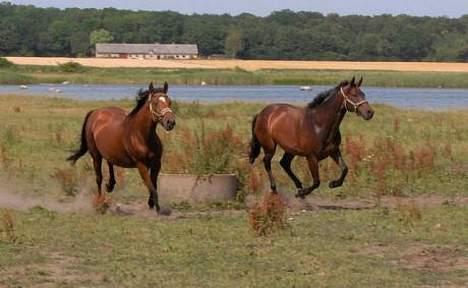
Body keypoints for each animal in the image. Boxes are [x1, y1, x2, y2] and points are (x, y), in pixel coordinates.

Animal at [66, 81, 176, 214]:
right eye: (155, 103)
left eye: (169, 102)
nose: (170, 122)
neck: (141, 135)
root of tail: (95, 112)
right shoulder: (141, 165)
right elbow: (151, 186)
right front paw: (157, 208)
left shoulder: (156, 164)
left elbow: (153, 185)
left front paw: (151, 204)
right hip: (95, 155)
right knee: (99, 178)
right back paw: (99, 202)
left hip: (109, 150)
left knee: (110, 162)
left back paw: (110, 185)